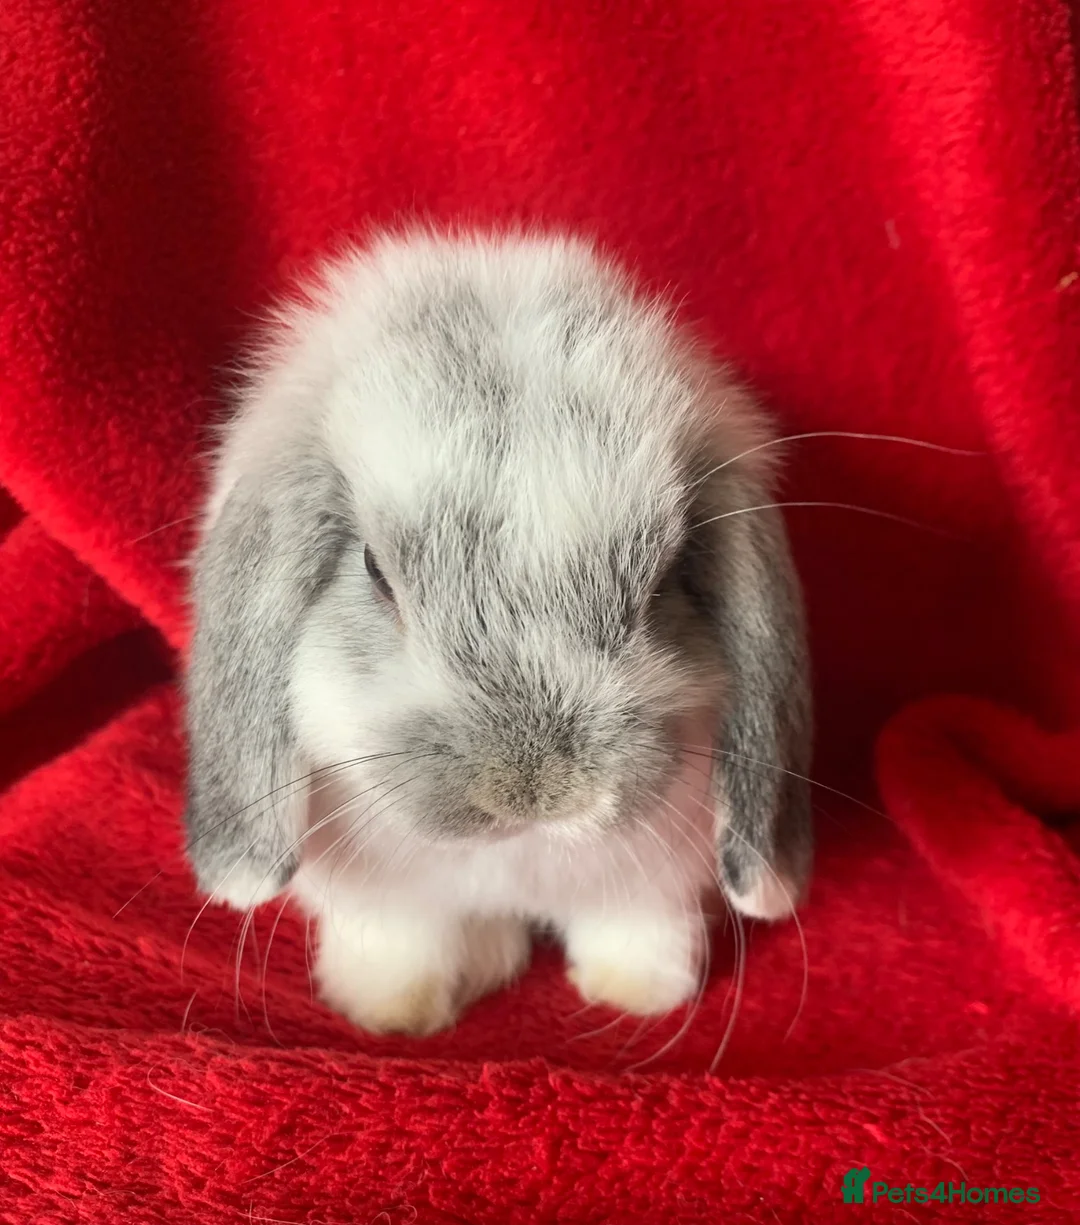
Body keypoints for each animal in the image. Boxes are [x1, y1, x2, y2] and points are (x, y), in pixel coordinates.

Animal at [183, 230, 812, 1037]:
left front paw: (635, 996)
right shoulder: (386, 901)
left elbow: (639, 931)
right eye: (374, 570)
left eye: (666, 576)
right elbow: (401, 944)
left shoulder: (653, 885)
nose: (535, 791)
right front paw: (390, 1013)